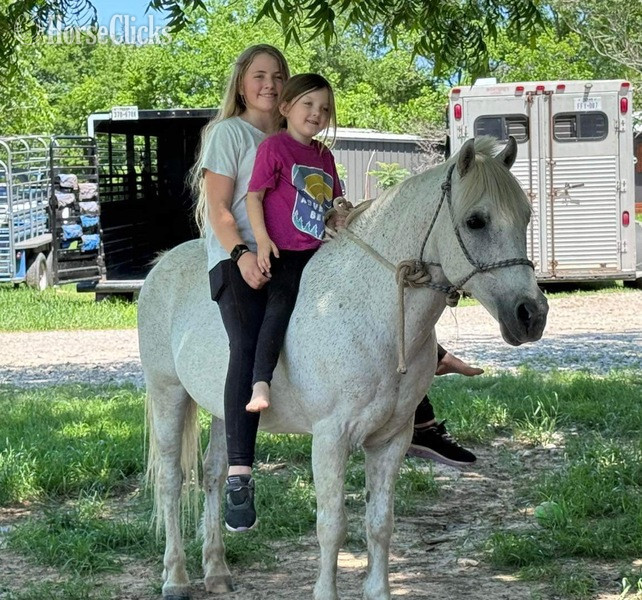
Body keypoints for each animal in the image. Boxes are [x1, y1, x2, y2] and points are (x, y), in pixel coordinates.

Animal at [138, 136, 548, 600]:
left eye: (526, 216)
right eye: (476, 221)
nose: (531, 315)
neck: (366, 309)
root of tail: (160, 265)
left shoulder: (390, 441)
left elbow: (380, 524)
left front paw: (378, 591)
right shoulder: (330, 439)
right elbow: (332, 526)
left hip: (224, 408)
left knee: (214, 474)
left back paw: (217, 570)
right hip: (168, 394)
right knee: (172, 482)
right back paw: (175, 578)